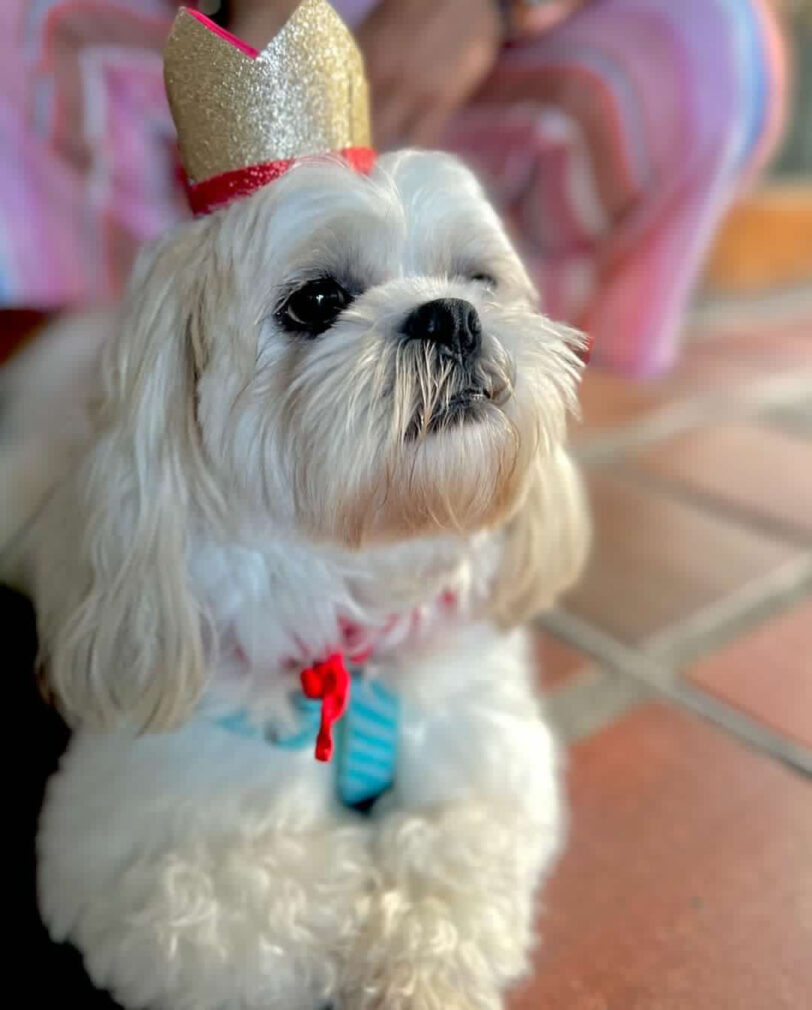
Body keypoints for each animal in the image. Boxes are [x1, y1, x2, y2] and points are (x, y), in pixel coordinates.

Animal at [4, 149, 589, 1010]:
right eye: (315, 302)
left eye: (478, 278)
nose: (451, 315)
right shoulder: (123, 859)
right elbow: (252, 920)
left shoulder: (488, 757)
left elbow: (453, 866)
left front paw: (413, 969)